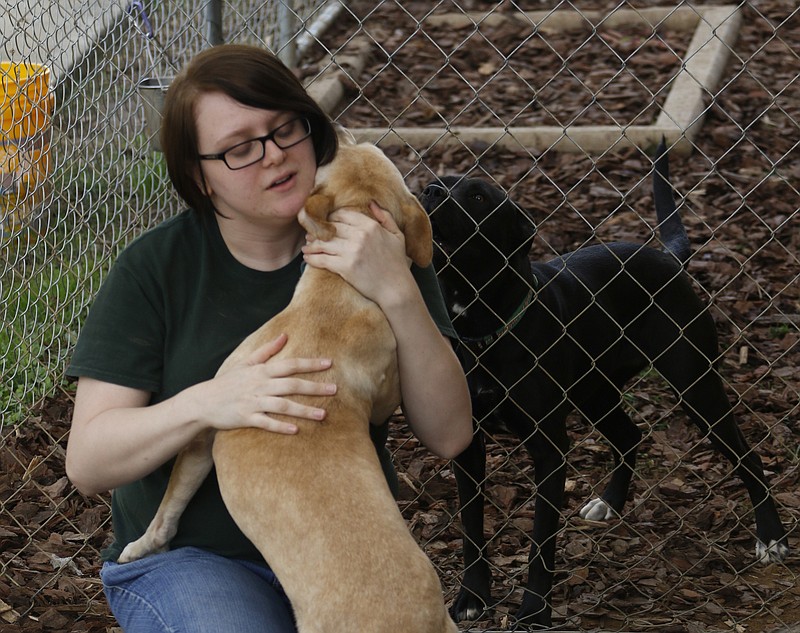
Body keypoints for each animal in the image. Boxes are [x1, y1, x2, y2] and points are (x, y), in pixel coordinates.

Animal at [117, 139, 456, 632]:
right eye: (360, 147)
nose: (340, 132)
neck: (338, 293)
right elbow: (170, 509)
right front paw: (145, 547)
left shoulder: (205, 436)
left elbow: (169, 505)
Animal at [422, 144, 792, 628]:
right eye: (435, 182)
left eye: (479, 197)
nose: (427, 192)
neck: (485, 326)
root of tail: (667, 258)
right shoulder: (467, 447)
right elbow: (471, 529)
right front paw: (471, 597)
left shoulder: (550, 450)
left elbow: (541, 542)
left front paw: (534, 613)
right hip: (596, 394)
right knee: (630, 435)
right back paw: (611, 503)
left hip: (696, 387)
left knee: (747, 455)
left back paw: (772, 537)